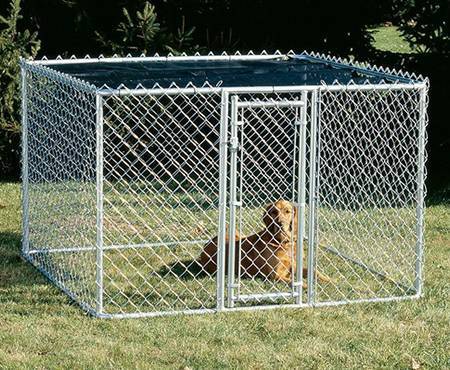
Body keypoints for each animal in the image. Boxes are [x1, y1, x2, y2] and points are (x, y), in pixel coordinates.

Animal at [200, 198, 330, 284]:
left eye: (287, 211)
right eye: (274, 212)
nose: (280, 223)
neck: (282, 243)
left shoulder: (295, 266)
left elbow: (314, 271)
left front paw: (329, 280)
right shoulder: (275, 275)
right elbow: (295, 282)